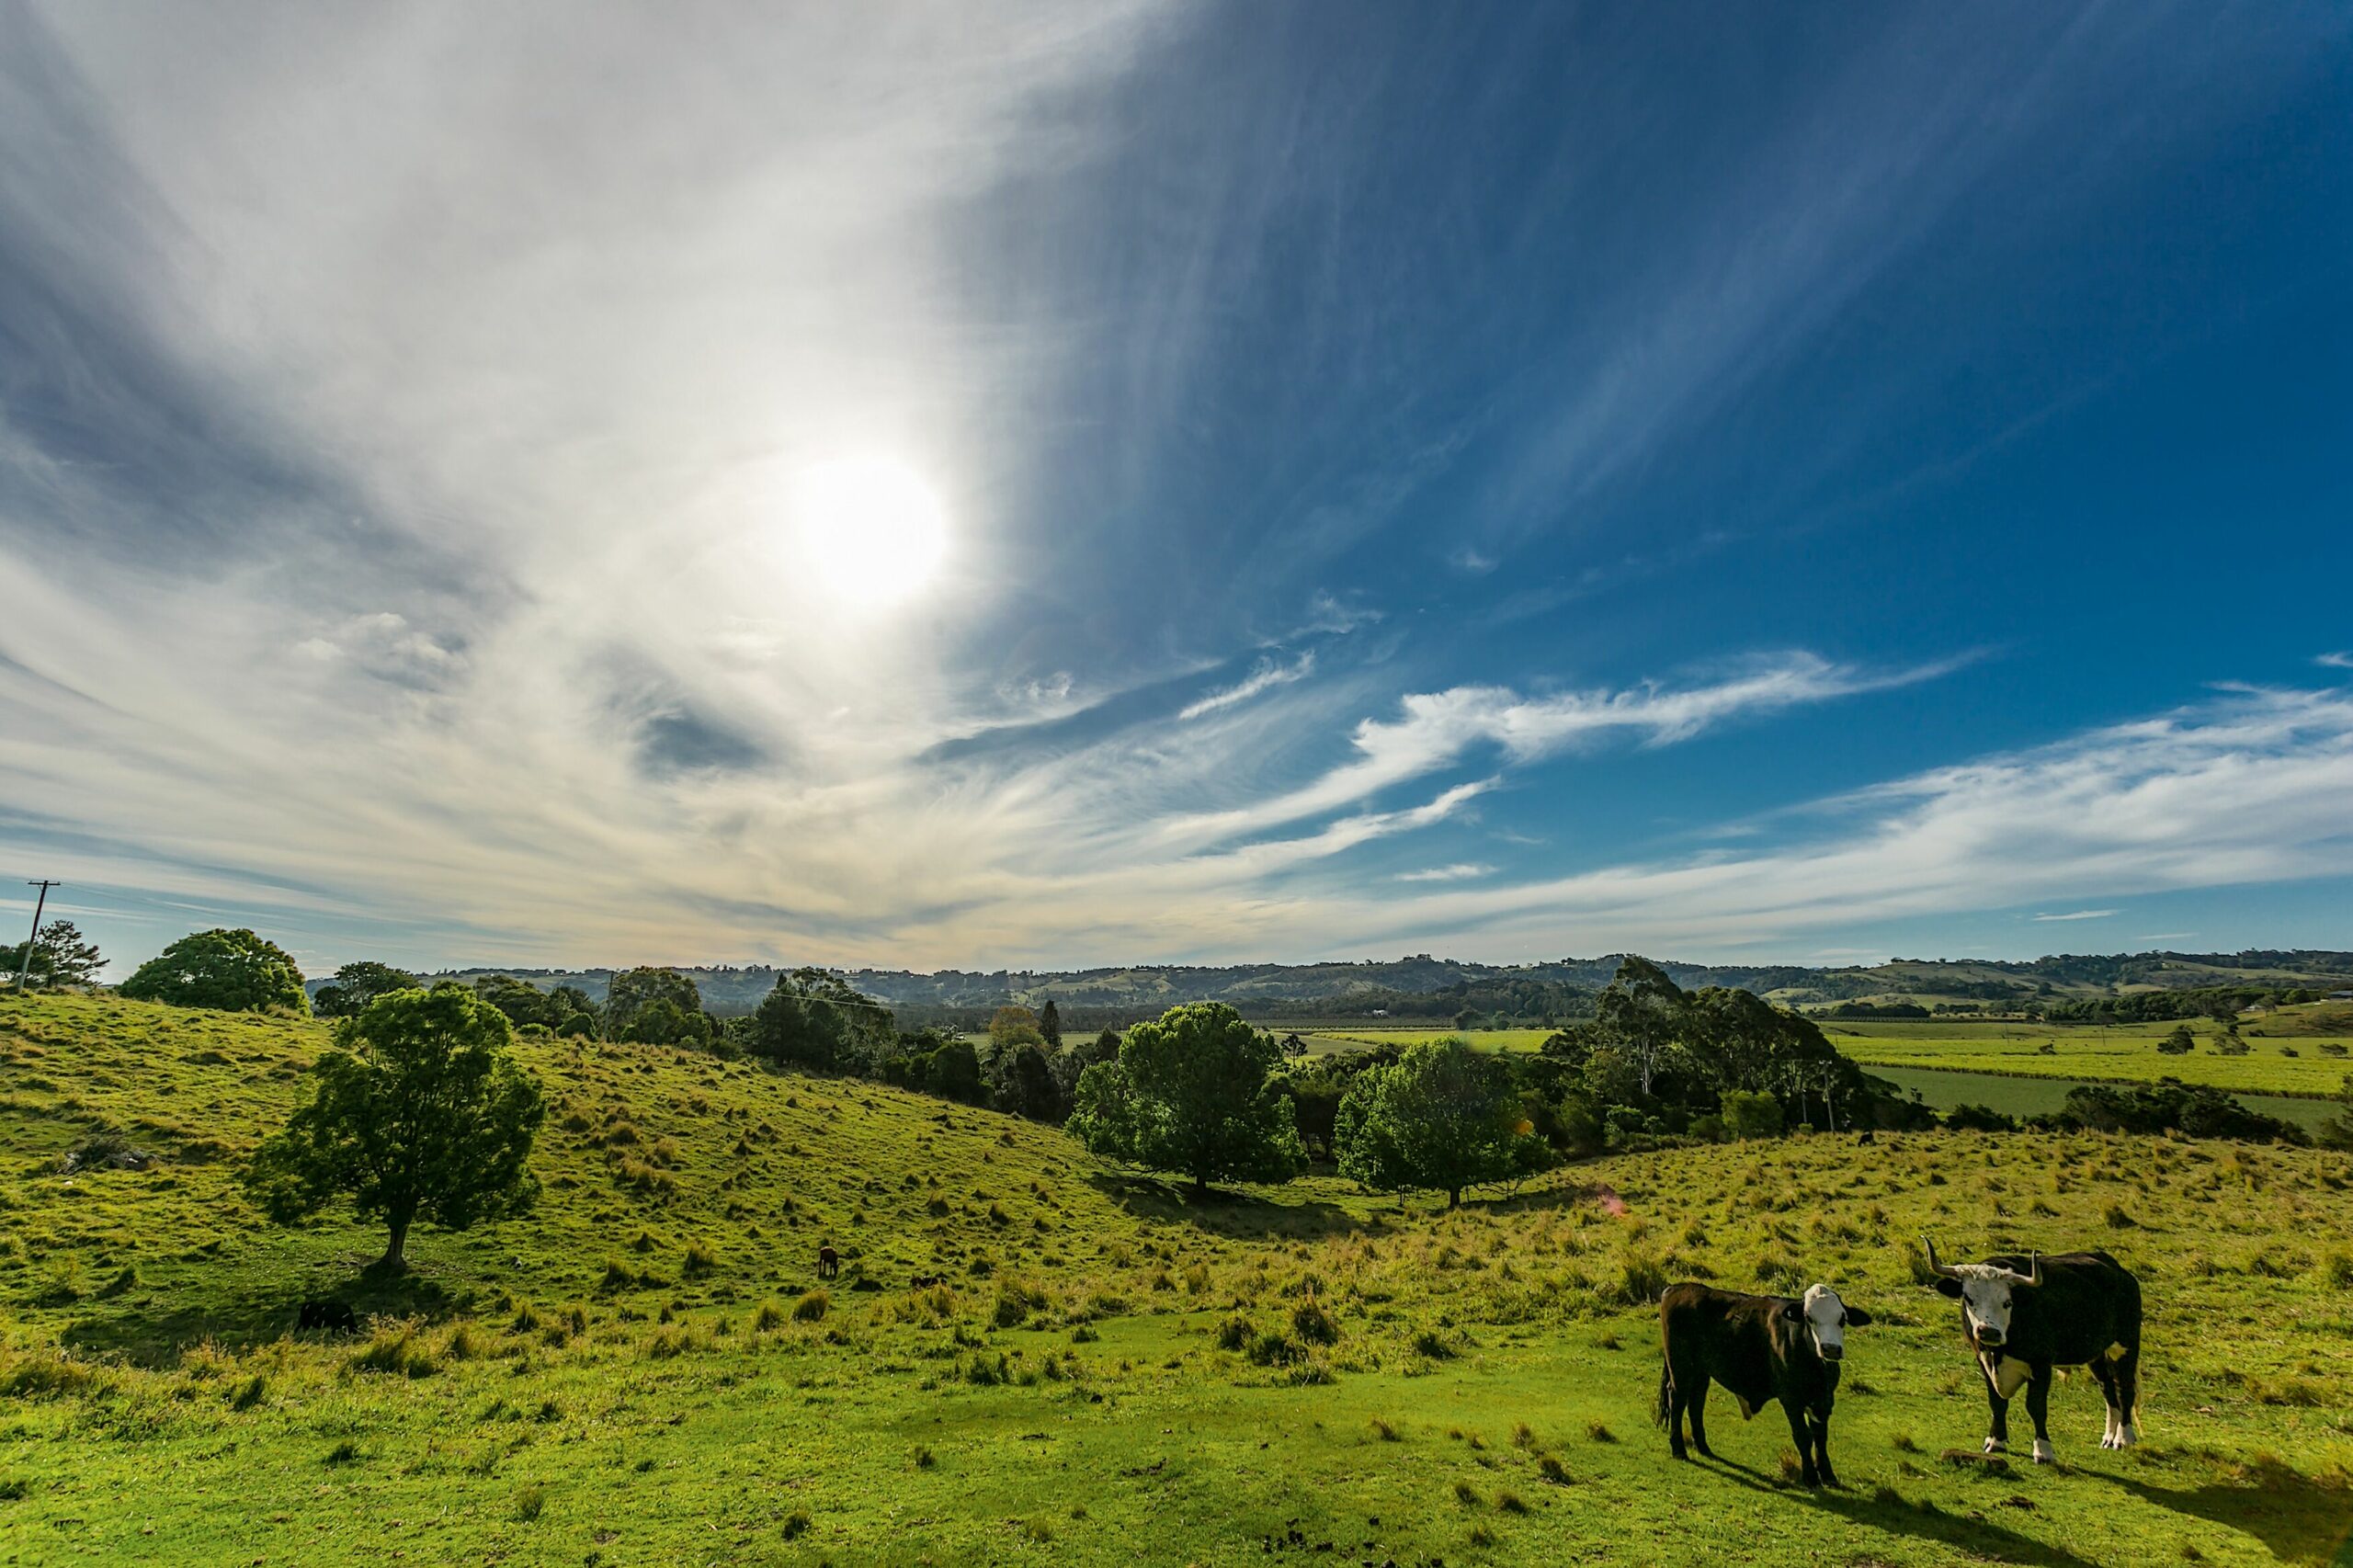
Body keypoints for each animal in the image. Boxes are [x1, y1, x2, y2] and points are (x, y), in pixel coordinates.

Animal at [1656, 1280, 1872, 1487]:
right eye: (1809, 1318)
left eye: (1842, 1319)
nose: (1831, 1349)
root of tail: (1676, 1288)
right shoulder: (1791, 1399)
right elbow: (1803, 1436)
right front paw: (1811, 1477)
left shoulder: (1823, 1401)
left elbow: (1820, 1436)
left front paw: (1828, 1476)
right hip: (1680, 1367)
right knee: (1677, 1401)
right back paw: (1679, 1449)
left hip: (1701, 1371)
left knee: (1696, 1402)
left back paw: (1703, 1447)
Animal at [1919, 1233, 2145, 1469]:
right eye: (1969, 1299)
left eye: (2007, 1302)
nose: (1988, 1332)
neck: (2000, 1350)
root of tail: (2119, 1271)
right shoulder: (1983, 1361)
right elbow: (1997, 1402)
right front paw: (1996, 1441)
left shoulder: (2041, 1364)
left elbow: (2036, 1407)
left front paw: (2043, 1450)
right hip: (2097, 1354)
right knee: (2107, 1388)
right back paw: (2109, 1437)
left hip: (2127, 1344)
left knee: (2125, 1388)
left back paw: (2123, 1438)